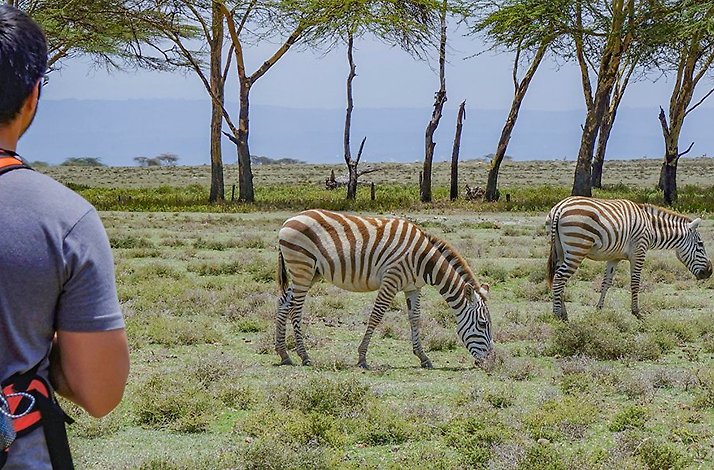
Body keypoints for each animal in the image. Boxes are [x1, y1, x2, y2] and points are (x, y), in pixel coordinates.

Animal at [275, 209, 494, 369]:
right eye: (483, 324)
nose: (490, 362)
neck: (424, 261)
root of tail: (289, 220)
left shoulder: (413, 288)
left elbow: (415, 318)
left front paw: (423, 357)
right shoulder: (391, 279)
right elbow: (376, 316)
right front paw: (362, 358)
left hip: (310, 273)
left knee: (283, 302)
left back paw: (284, 354)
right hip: (302, 268)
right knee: (295, 309)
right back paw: (304, 356)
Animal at [546, 196, 712, 321]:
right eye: (700, 244)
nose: (709, 272)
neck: (651, 227)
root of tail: (559, 207)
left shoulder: (614, 257)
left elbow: (606, 283)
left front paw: (599, 309)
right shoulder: (639, 252)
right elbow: (635, 283)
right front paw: (637, 312)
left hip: (560, 251)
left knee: (559, 278)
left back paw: (564, 314)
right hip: (577, 248)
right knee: (559, 278)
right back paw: (557, 315)